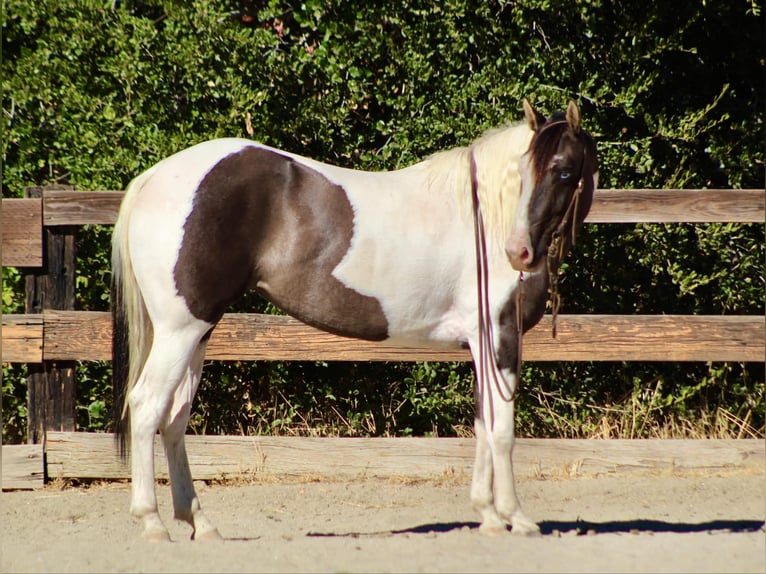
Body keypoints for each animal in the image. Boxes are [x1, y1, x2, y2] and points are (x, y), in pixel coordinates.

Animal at [111, 99, 598, 541]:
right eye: (526, 171)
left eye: (563, 172)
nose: (519, 253)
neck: (485, 218)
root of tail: (153, 178)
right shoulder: (499, 338)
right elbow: (501, 431)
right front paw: (517, 519)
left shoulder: (479, 345)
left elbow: (482, 422)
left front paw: (490, 516)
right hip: (180, 332)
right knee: (147, 406)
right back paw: (152, 522)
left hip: (198, 333)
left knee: (175, 417)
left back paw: (201, 523)